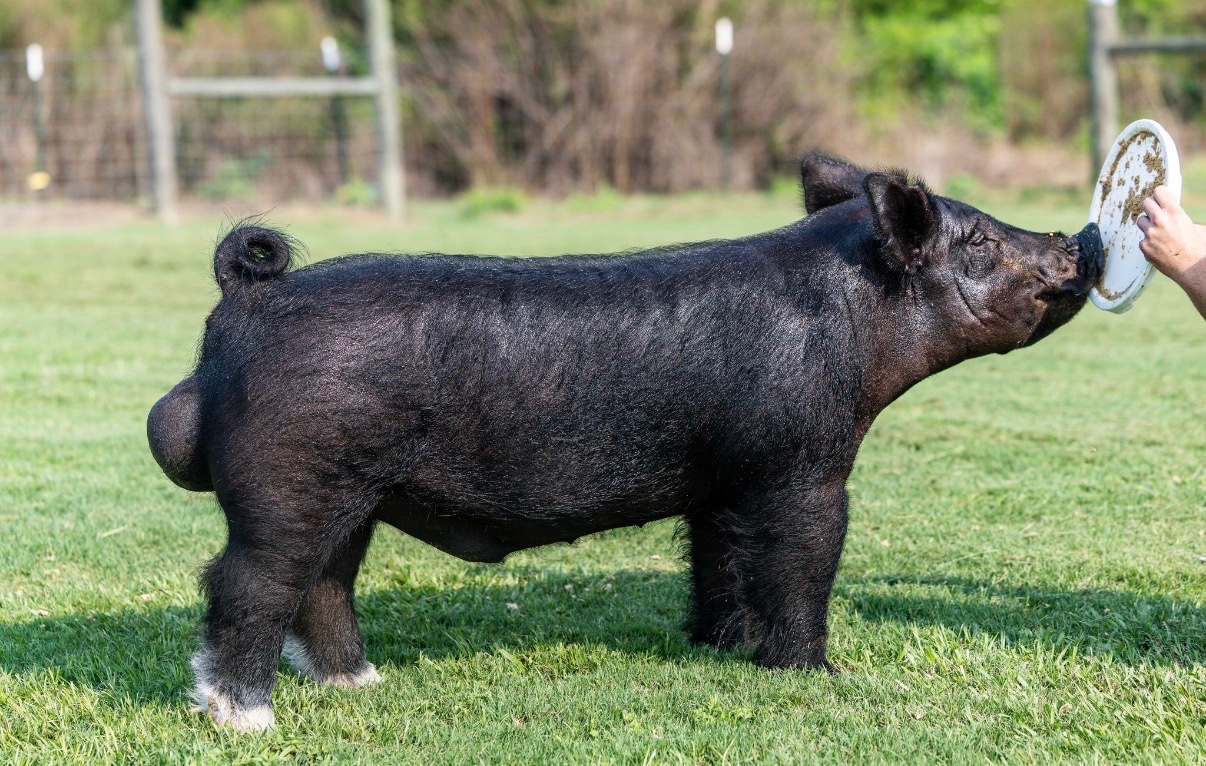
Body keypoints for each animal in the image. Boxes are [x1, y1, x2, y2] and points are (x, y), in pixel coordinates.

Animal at [147, 153, 1104, 731]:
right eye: (979, 238)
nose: (1074, 239)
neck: (856, 323)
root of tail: (249, 299)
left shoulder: (725, 482)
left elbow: (721, 560)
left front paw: (719, 647)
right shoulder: (801, 464)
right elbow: (803, 561)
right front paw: (817, 676)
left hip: (355, 494)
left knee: (325, 584)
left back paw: (362, 685)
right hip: (292, 479)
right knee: (247, 583)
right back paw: (244, 718)